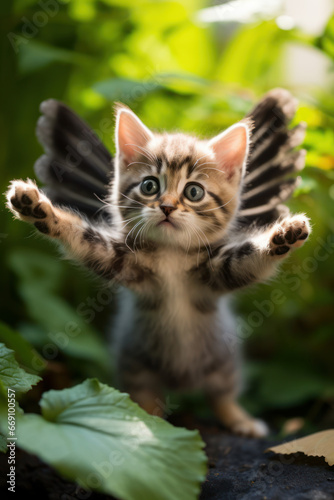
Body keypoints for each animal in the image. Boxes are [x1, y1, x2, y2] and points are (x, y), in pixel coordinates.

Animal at [5, 99, 310, 436]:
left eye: (193, 191)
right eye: (150, 185)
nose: (166, 206)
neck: (171, 255)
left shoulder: (220, 271)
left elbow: (251, 257)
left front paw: (284, 236)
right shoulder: (119, 260)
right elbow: (83, 237)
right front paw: (40, 210)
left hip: (223, 363)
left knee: (222, 396)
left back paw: (240, 420)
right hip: (137, 366)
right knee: (148, 401)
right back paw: (148, 424)